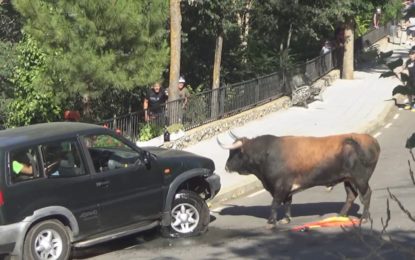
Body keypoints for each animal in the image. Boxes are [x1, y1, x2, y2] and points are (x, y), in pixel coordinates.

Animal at [219, 133, 382, 226]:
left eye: (234, 153)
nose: (226, 167)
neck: (266, 153)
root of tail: (371, 140)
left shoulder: (280, 186)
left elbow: (275, 203)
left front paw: (271, 221)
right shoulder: (286, 188)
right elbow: (287, 202)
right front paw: (286, 219)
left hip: (360, 179)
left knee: (366, 195)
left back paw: (364, 218)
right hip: (348, 179)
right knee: (351, 195)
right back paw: (340, 215)